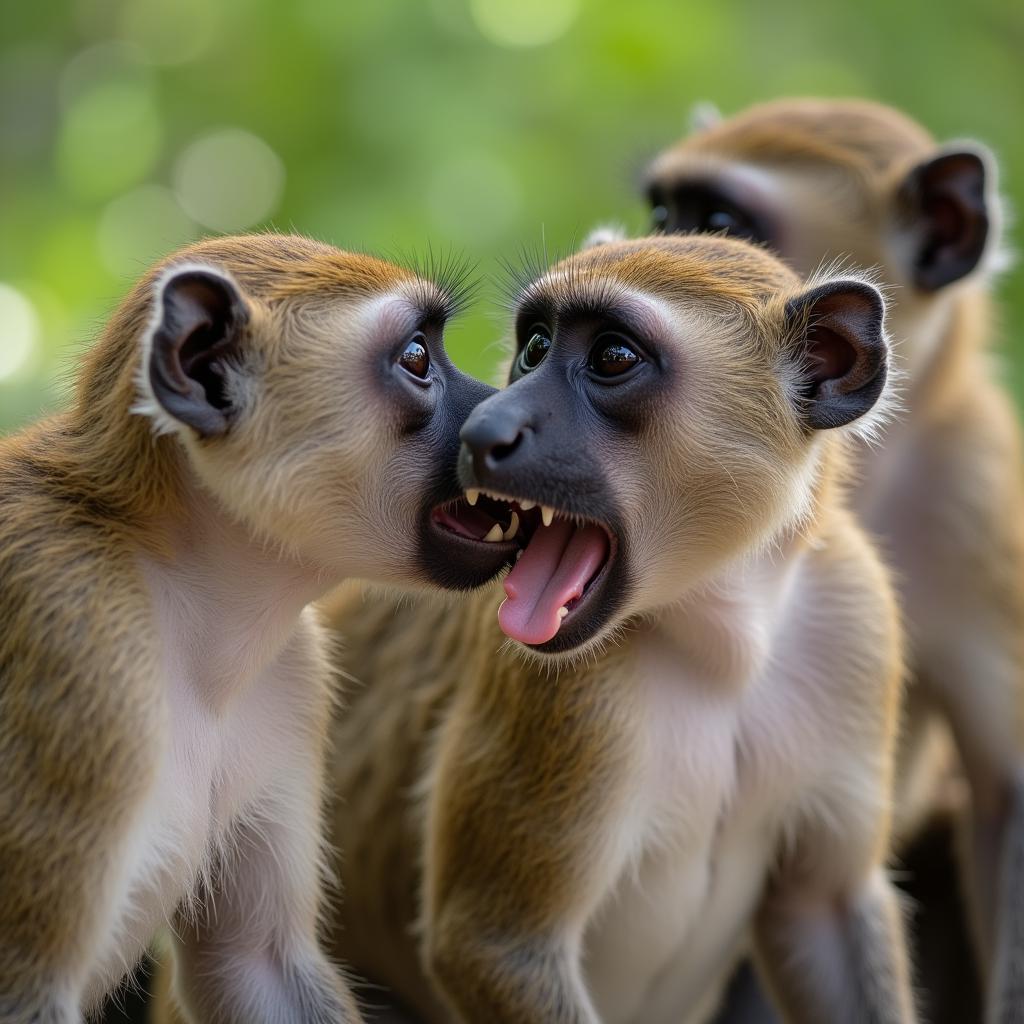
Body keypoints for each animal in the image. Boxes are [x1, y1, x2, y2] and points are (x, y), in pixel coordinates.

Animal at [0, 234, 520, 1024]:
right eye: (417, 358)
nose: (498, 413)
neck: (191, 590)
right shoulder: (75, 627)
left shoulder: (293, 669)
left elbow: (255, 965)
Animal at [315, 232, 917, 1024]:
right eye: (535, 347)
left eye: (612, 358)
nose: (482, 429)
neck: (726, 638)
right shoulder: (563, 699)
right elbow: (495, 945)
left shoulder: (855, 623)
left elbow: (827, 909)